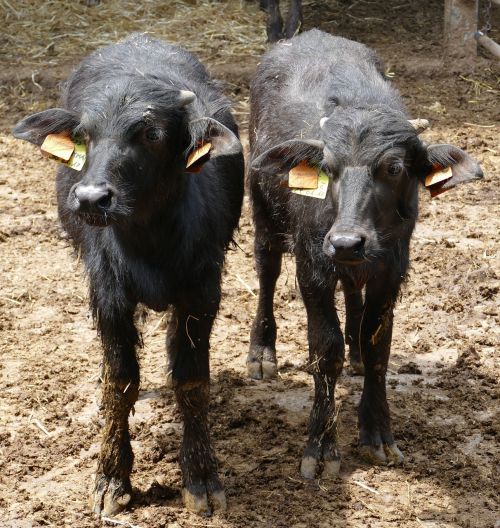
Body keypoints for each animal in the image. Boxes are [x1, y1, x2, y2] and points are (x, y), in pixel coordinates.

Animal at [13, 35, 244, 516]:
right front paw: (111, 479)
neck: (150, 243)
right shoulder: (108, 297)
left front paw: (201, 478)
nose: (90, 198)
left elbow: (191, 379)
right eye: (85, 136)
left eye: (151, 134)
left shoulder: (201, 293)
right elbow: (118, 385)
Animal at [248, 29, 482, 478]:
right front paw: (321, 447)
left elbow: (378, 347)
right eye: (329, 167)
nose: (346, 241)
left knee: (353, 295)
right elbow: (325, 350)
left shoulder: (391, 270)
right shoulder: (312, 268)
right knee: (267, 269)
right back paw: (261, 353)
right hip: (263, 212)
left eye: (393, 168)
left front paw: (378, 434)